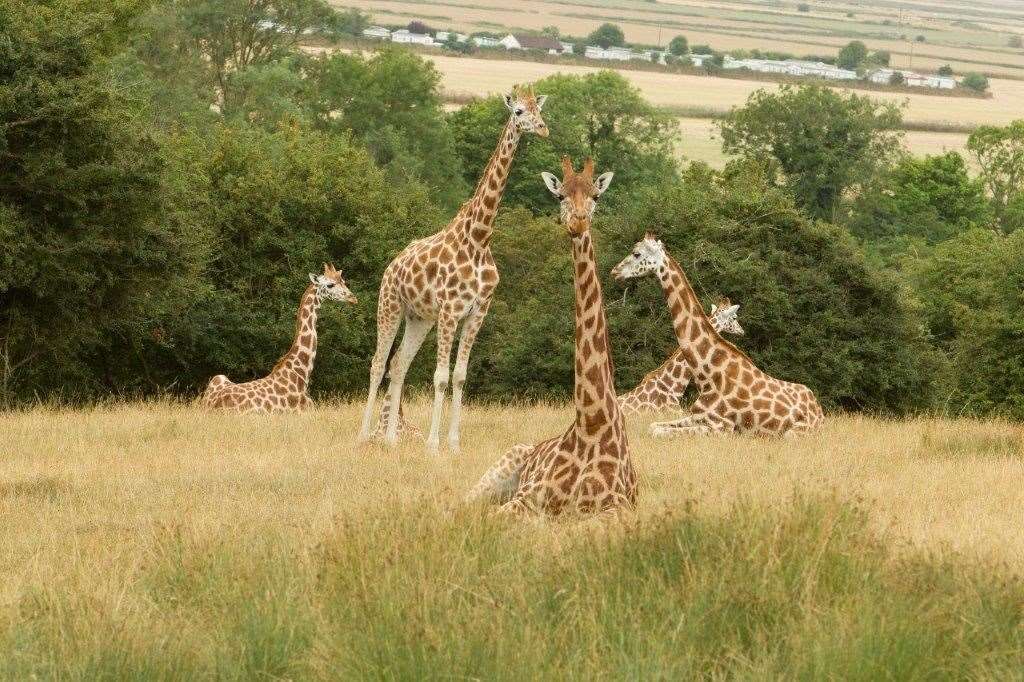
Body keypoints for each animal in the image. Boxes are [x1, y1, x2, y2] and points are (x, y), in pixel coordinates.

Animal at [201, 264, 358, 413]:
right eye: (330, 285)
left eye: (343, 281)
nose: (353, 298)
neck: (300, 374)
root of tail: (211, 407)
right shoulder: (306, 411)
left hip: (218, 377)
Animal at [362, 83, 552, 450]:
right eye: (518, 111)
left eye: (539, 109)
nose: (543, 128)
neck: (479, 238)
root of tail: (392, 265)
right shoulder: (450, 310)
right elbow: (440, 377)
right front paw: (433, 445)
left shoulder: (479, 311)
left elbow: (461, 376)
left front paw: (453, 443)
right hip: (390, 305)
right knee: (378, 363)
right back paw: (363, 436)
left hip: (419, 318)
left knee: (399, 363)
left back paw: (391, 440)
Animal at [468, 156, 634, 512]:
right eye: (560, 196)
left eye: (596, 196)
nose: (578, 223)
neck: (592, 423)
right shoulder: (527, 501)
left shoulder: (616, 507)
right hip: (496, 473)